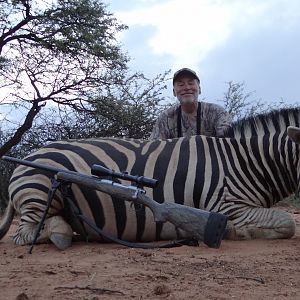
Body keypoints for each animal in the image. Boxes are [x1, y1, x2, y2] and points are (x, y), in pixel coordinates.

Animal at [0, 106, 300, 250]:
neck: (248, 161)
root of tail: (29, 156)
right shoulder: (227, 206)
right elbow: (287, 223)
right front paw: (235, 232)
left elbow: (285, 222)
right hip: (38, 191)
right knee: (27, 234)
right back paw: (61, 233)